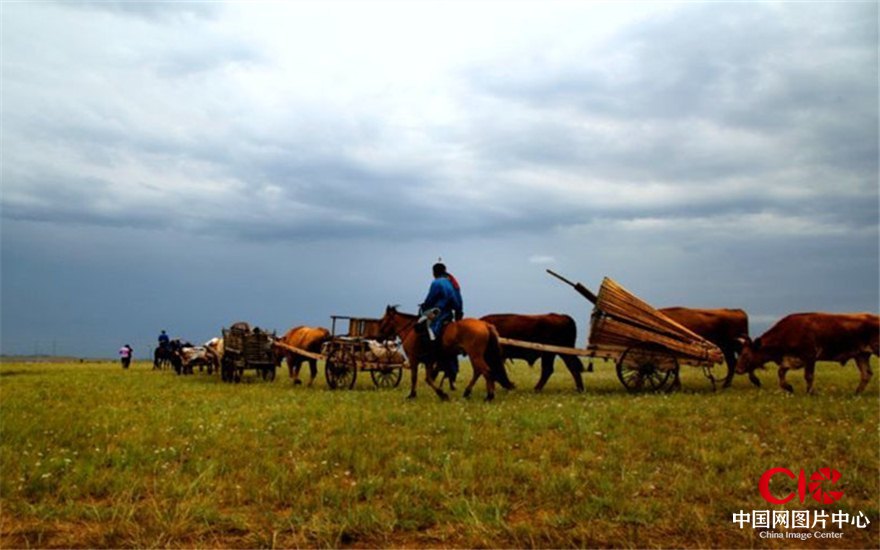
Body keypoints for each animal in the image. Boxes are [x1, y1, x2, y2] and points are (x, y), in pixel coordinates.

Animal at [374, 306, 512, 402]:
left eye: (383, 320)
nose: (379, 337)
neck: (411, 331)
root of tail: (485, 324)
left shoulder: (414, 359)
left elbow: (415, 378)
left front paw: (412, 395)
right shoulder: (429, 361)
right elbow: (428, 378)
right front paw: (442, 394)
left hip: (475, 355)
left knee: (486, 371)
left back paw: (489, 396)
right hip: (475, 356)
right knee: (479, 372)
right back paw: (467, 392)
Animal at [736, 312, 880, 394]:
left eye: (746, 354)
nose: (738, 369)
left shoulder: (810, 357)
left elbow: (808, 376)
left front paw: (810, 392)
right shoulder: (791, 359)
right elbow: (781, 372)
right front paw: (789, 388)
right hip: (861, 355)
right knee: (866, 374)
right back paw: (856, 393)